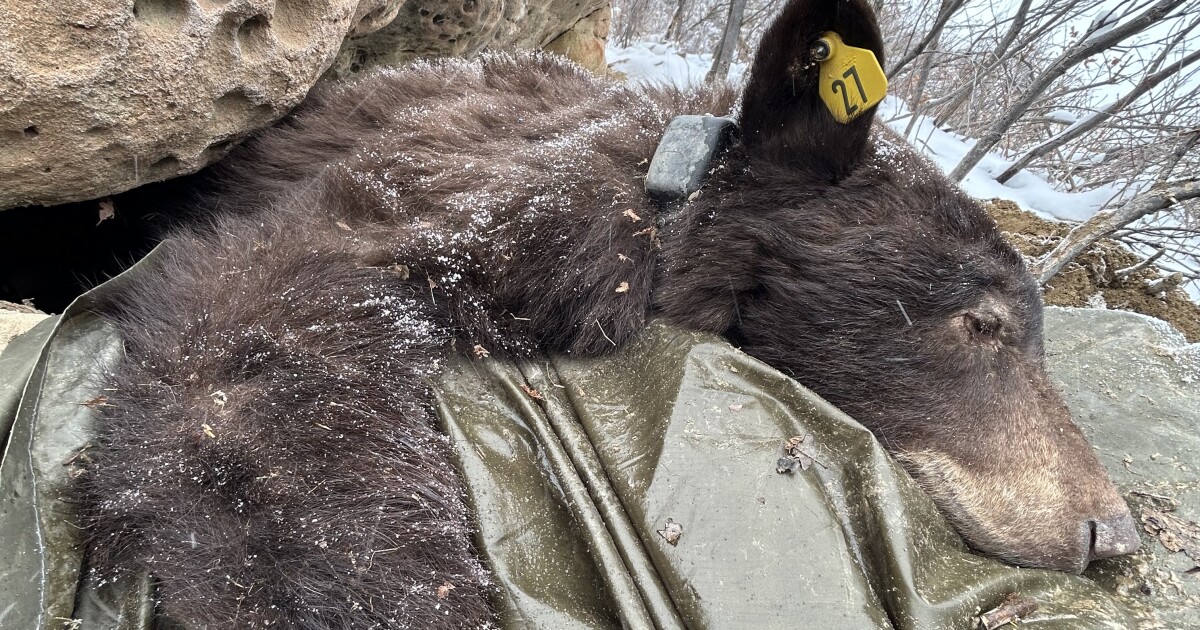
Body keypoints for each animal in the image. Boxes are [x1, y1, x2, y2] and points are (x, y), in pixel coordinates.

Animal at [79, 0, 1140, 627]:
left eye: (1035, 331)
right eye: (982, 323)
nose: (1114, 533)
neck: (657, 191)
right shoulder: (447, 208)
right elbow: (249, 371)